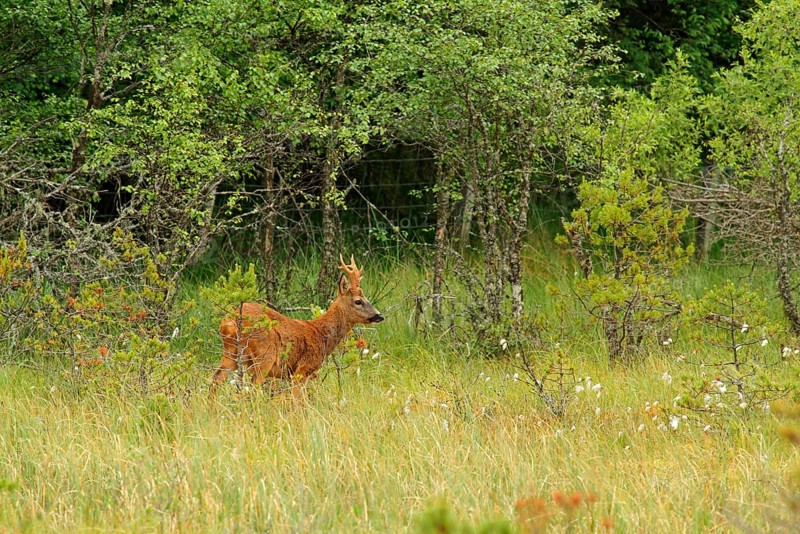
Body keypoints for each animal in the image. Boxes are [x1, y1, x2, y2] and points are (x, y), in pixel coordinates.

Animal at [211, 255, 384, 398]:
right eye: (358, 301)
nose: (379, 315)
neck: (322, 335)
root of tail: (230, 320)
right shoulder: (302, 370)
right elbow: (298, 402)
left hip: (230, 353)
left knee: (216, 379)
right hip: (263, 357)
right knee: (249, 388)